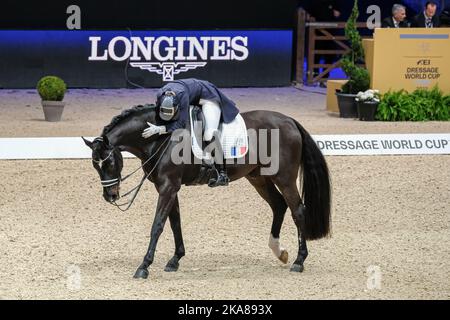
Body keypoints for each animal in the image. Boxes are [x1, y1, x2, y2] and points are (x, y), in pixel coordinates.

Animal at [83, 104, 330, 278]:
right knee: (279, 205)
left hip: (284, 178)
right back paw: (280, 252)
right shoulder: (168, 188)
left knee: (298, 210)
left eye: (109, 162)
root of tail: (289, 121)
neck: (162, 139)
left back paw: (299, 261)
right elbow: (175, 223)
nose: (111, 196)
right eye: (95, 165)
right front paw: (175, 259)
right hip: (258, 178)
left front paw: (144, 266)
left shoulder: (168, 187)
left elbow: (158, 225)